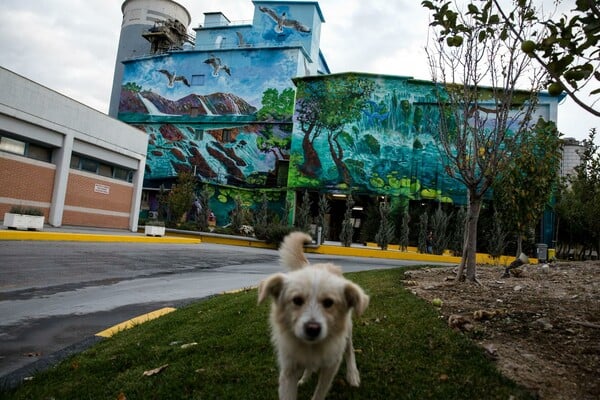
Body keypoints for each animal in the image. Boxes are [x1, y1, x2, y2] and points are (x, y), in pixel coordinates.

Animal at [258, 231, 370, 400]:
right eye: (297, 300)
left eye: (329, 302)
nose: (312, 329)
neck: (311, 347)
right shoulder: (288, 371)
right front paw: (305, 376)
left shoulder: (331, 366)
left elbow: (319, 393)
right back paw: (305, 377)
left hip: (348, 331)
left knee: (349, 349)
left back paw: (352, 374)